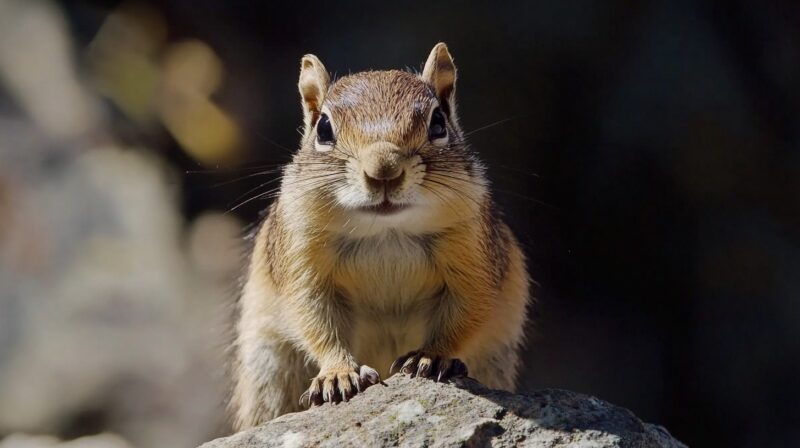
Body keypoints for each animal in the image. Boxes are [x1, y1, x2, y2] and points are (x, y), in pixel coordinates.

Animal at [231, 43, 532, 428]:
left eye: (438, 123)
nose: (384, 169)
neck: (387, 232)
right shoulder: (303, 259)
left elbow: (466, 311)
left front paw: (431, 357)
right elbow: (316, 319)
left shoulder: (474, 257)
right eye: (324, 128)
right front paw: (338, 374)